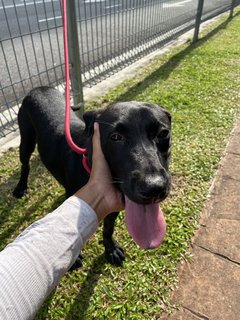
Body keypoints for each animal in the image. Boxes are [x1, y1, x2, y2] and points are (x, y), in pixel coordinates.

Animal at [13, 86, 172, 266]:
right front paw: (71, 257)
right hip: (26, 141)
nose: (154, 188)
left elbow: (108, 228)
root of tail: (40, 88)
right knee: (25, 164)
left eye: (163, 133)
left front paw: (110, 249)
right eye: (115, 137)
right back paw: (21, 187)